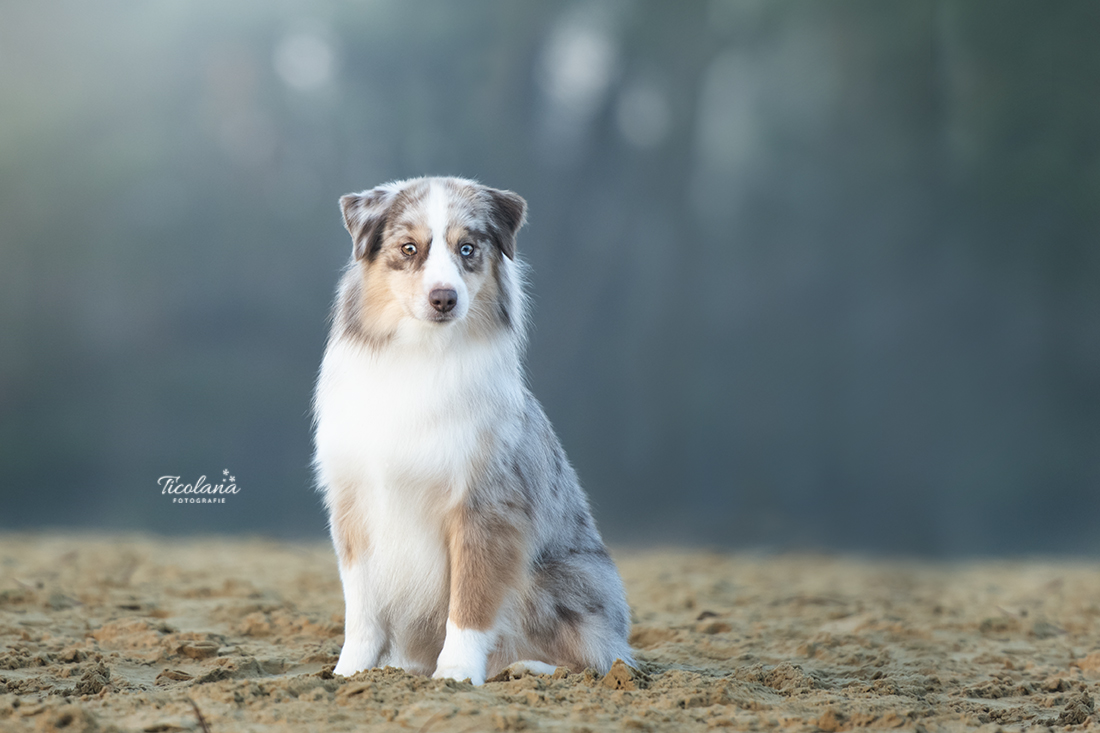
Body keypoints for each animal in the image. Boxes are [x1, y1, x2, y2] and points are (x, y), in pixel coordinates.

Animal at [314, 173, 633, 682]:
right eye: (408, 248)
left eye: (467, 248)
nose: (444, 298)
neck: (422, 356)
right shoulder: (355, 502)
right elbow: (361, 608)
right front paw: (350, 675)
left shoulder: (486, 505)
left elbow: (471, 599)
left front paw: (457, 675)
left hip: (567, 574)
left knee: (599, 657)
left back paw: (526, 667)